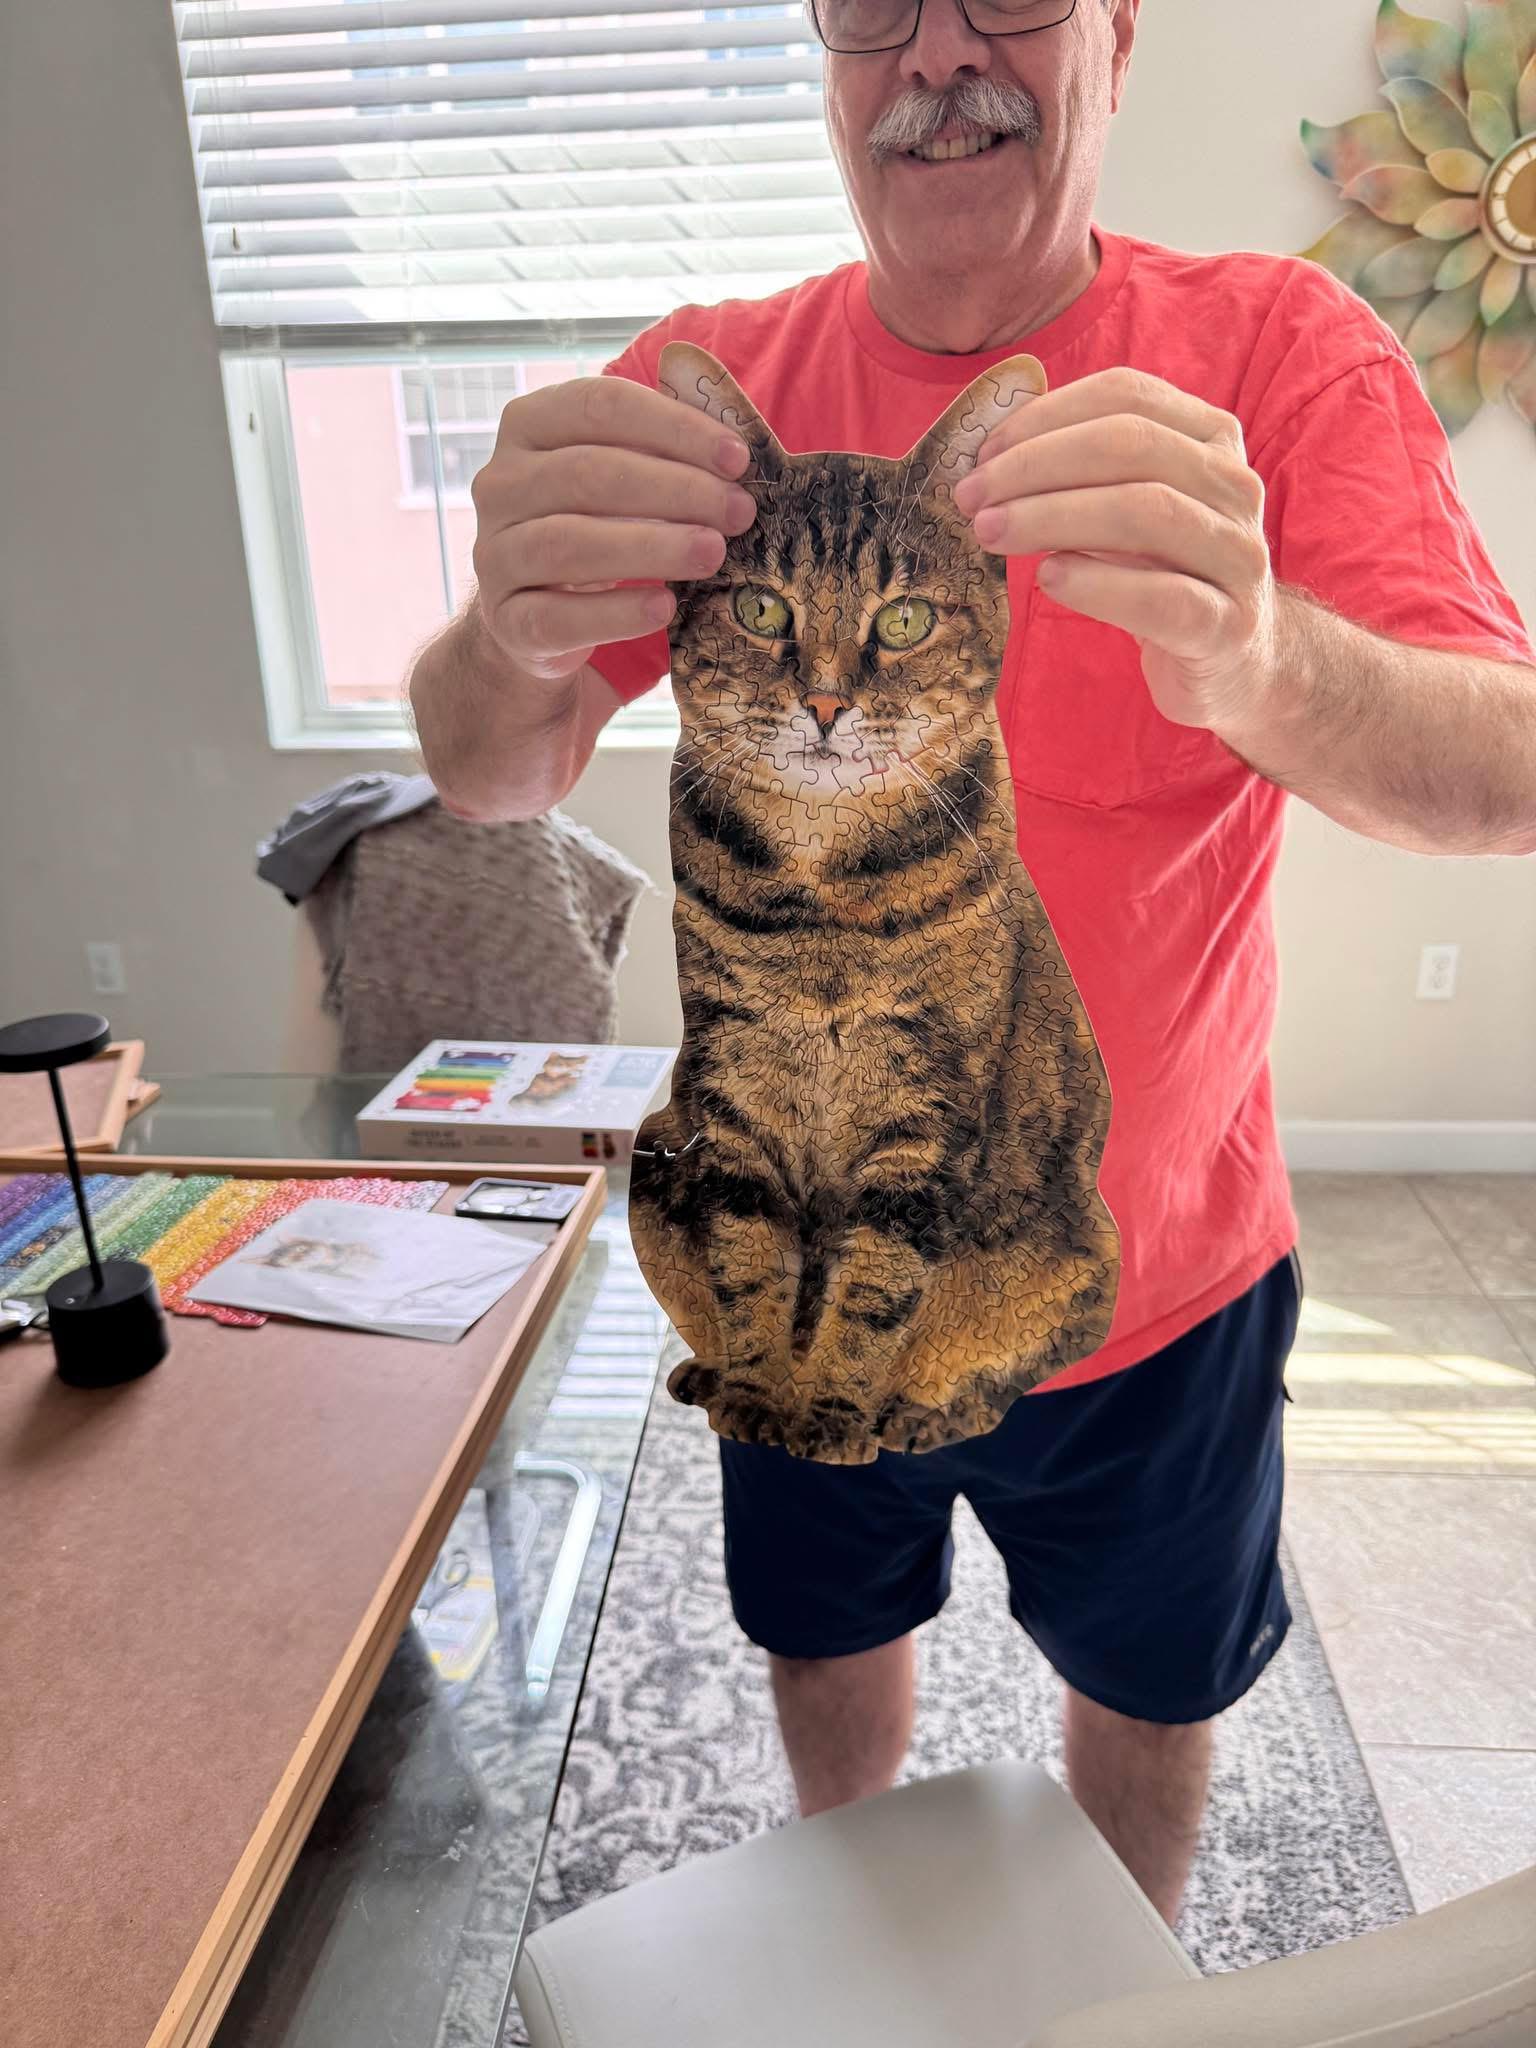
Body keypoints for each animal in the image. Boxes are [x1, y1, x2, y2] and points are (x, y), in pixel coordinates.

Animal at [629, 342, 1121, 1466]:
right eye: (762, 608)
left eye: (903, 620)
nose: (823, 703)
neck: (821, 907)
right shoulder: (732, 1100)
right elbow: (751, 1271)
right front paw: (757, 1390)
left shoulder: (922, 1112)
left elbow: (871, 1294)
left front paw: (834, 1415)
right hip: (653, 1150)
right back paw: (702, 1372)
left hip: (1088, 1251)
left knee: (998, 1367)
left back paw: (924, 1410)